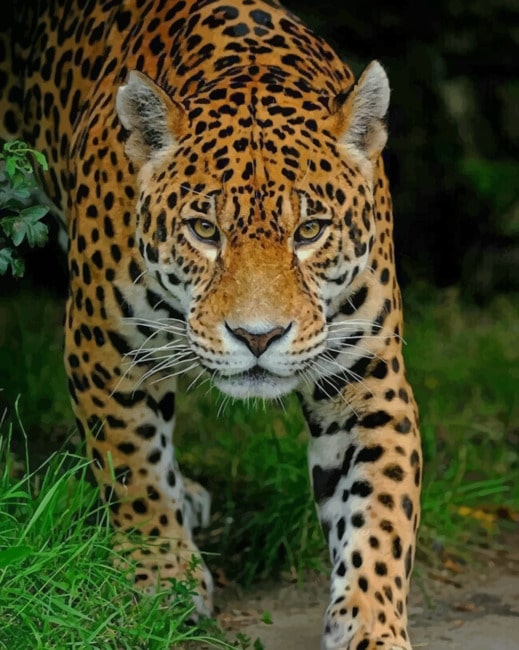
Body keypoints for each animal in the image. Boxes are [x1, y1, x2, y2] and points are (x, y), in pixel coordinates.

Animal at [0, 1, 422, 648]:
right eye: (204, 230)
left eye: (309, 231)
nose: (258, 337)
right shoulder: (105, 346)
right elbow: (133, 463)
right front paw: (159, 574)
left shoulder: (367, 381)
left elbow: (382, 510)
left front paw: (373, 624)